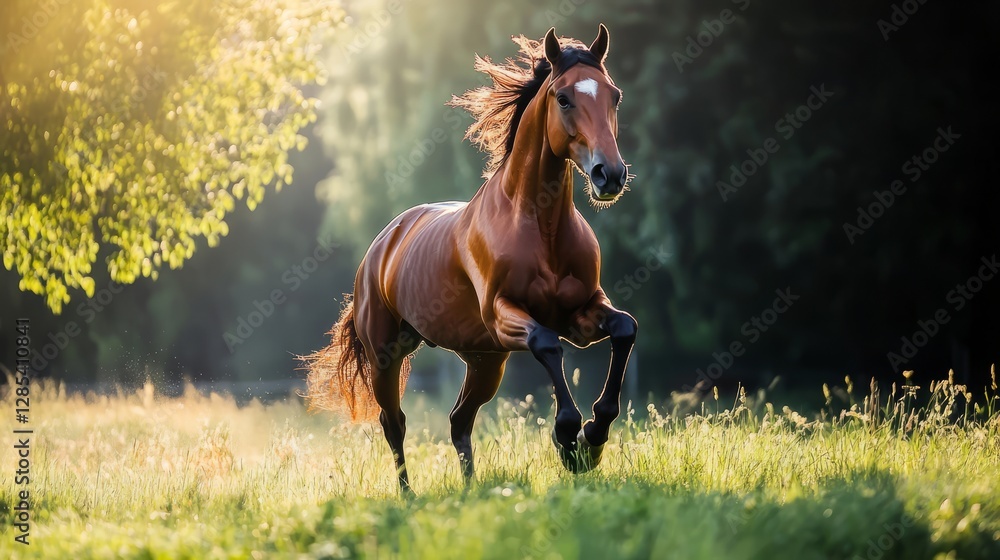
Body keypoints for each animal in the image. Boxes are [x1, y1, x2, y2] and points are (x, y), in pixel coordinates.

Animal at [303, 24, 636, 491]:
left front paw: (594, 438)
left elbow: (625, 328)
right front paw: (570, 439)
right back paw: (408, 496)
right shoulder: (504, 315)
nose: (611, 175)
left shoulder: (581, 314)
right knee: (394, 423)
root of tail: (383, 243)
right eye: (563, 98)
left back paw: (471, 488)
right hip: (387, 355)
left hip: (484, 361)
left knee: (459, 420)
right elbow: (546, 344)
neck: (541, 226)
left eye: (615, 95)